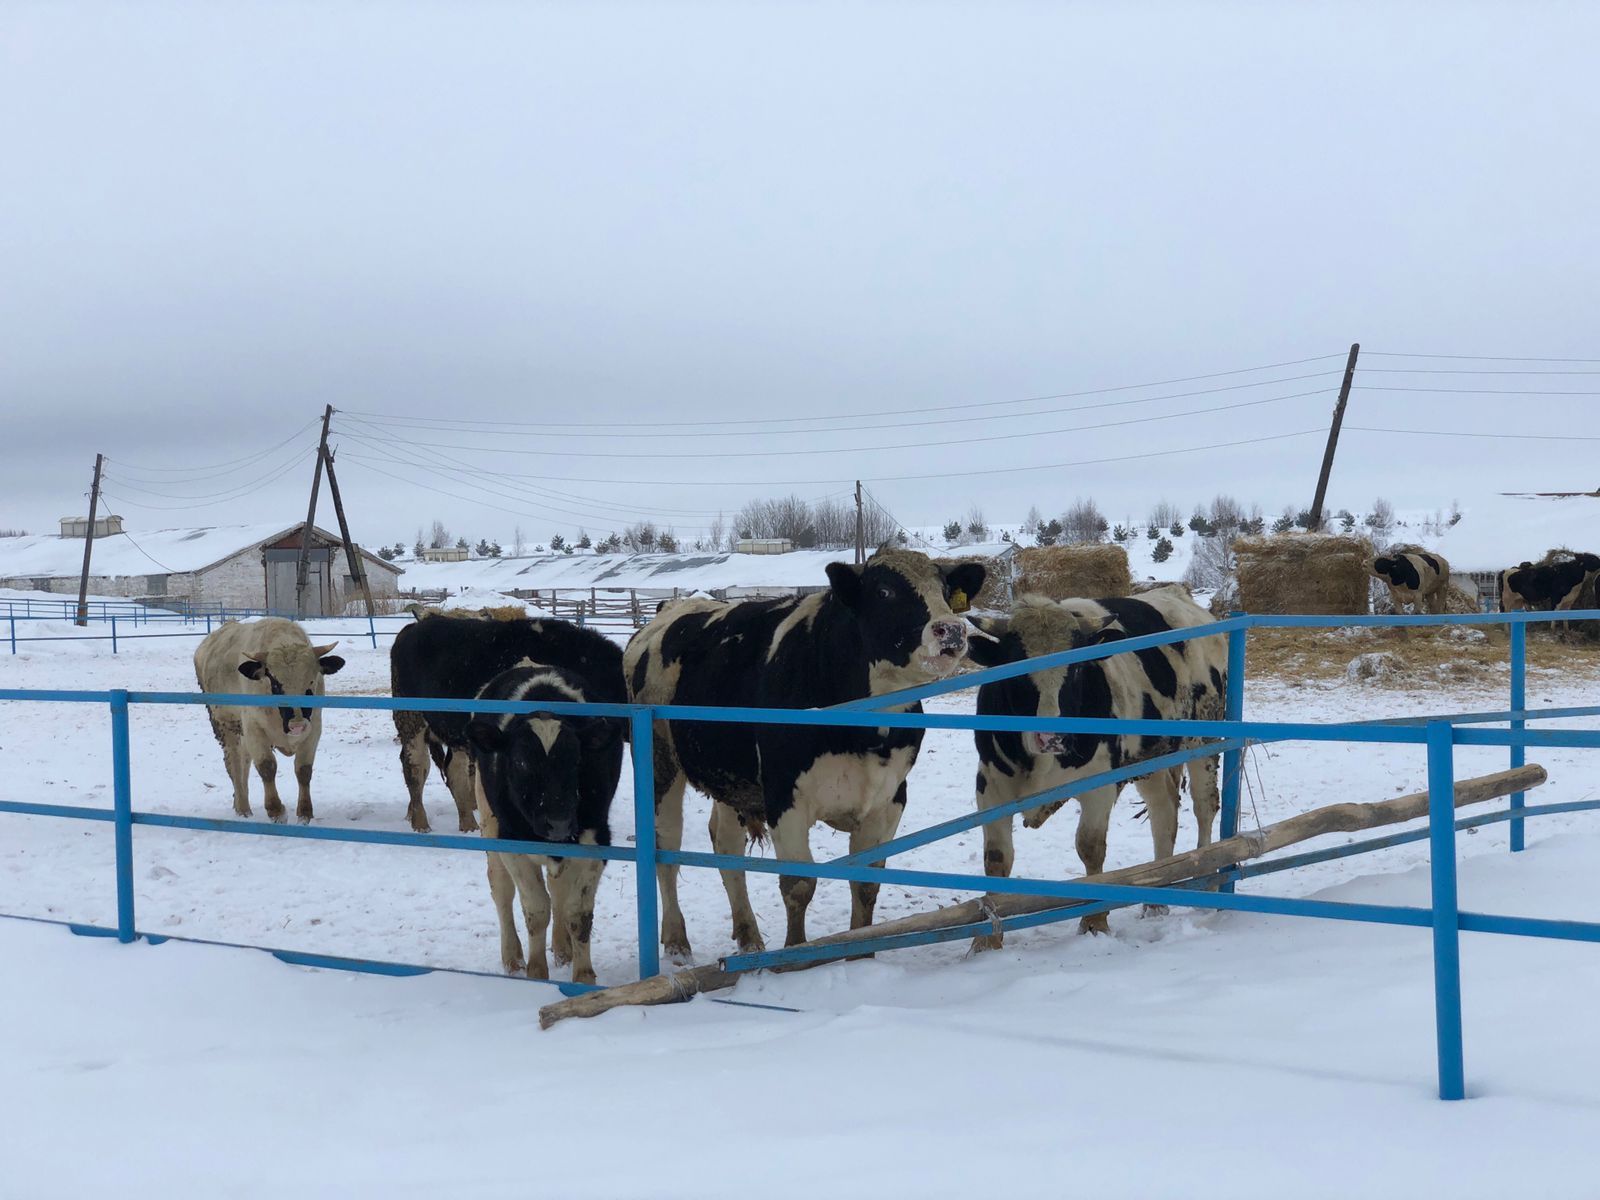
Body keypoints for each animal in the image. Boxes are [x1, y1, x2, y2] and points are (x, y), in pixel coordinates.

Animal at [193, 620, 344, 825]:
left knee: (244, 762)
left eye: (312, 681)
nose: (297, 725)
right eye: (275, 682)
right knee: (234, 764)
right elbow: (267, 767)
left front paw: (304, 812)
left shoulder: (313, 729)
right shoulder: (254, 729)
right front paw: (276, 811)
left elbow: (303, 770)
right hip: (225, 725)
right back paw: (242, 807)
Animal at [390, 614, 627, 832]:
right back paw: (421, 823)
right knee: (416, 767)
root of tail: (413, 627)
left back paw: (468, 824)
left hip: (454, 733)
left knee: (453, 771)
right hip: (410, 719)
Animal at [464, 668, 624, 985]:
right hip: (489, 820)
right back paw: (513, 958)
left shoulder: (597, 840)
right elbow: (537, 909)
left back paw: (563, 950)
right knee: (501, 888)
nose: (559, 822)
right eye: (520, 762)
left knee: (558, 889)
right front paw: (536, 973)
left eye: (577, 759)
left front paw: (583, 976)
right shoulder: (512, 843)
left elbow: (578, 913)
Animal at [624, 553, 985, 960]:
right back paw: (675, 939)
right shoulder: (785, 797)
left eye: (945, 589)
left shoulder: (890, 798)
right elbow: (798, 884)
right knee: (665, 848)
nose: (951, 630)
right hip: (660, 764)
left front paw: (862, 952)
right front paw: (794, 955)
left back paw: (749, 936)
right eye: (884, 591)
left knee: (727, 845)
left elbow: (866, 884)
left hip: (732, 779)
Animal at [960, 588, 1222, 947]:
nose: (1051, 736)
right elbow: (997, 857)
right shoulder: (990, 786)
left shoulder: (1099, 785)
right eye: (1015, 668)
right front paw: (987, 942)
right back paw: (1155, 902)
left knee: (1204, 806)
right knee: (1164, 813)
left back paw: (1207, 880)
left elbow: (1090, 848)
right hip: (1150, 759)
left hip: (1205, 738)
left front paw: (1095, 922)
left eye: (1077, 669)